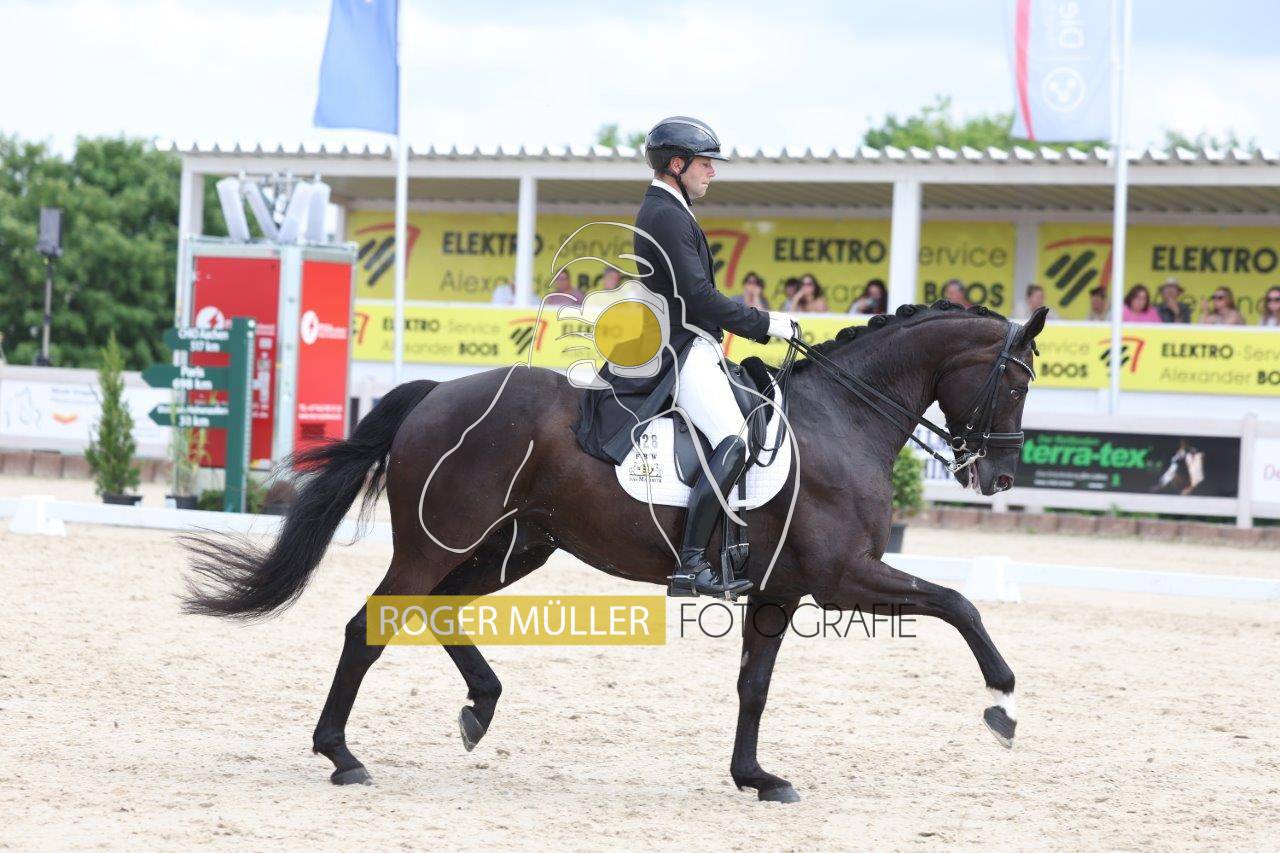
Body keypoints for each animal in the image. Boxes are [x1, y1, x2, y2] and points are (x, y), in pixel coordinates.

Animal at [183, 301, 1048, 803]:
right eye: (1016, 383)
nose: (999, 476)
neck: (842, 418)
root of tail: (435, 393)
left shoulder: (781, 590)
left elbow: (755, 685)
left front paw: (755, 776)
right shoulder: (843, 579)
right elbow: (959, 602)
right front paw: (1003, 702)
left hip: (513, 547)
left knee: (433, 610)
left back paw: (480, 705)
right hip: (441, 540)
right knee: (371, 624)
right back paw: (342, 755)